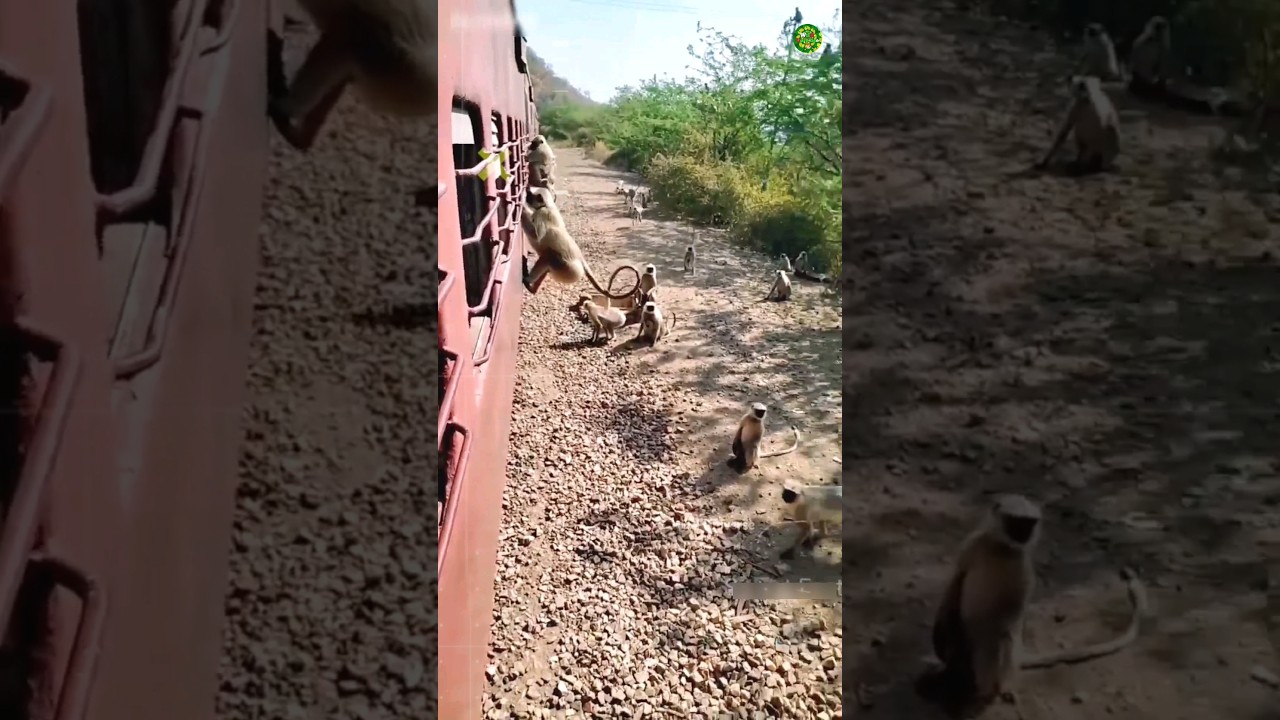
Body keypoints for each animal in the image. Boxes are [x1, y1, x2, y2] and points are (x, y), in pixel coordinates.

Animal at [923, 495, 1149, 715]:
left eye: (1028, 524)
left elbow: (1012, 613)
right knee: (958, 639)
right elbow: (958, 578)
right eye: (1016, 522)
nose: (1024, 534)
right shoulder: (975, 543)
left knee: (996, 645)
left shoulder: (1022, 566)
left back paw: (985, 693)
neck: (1002, 549)